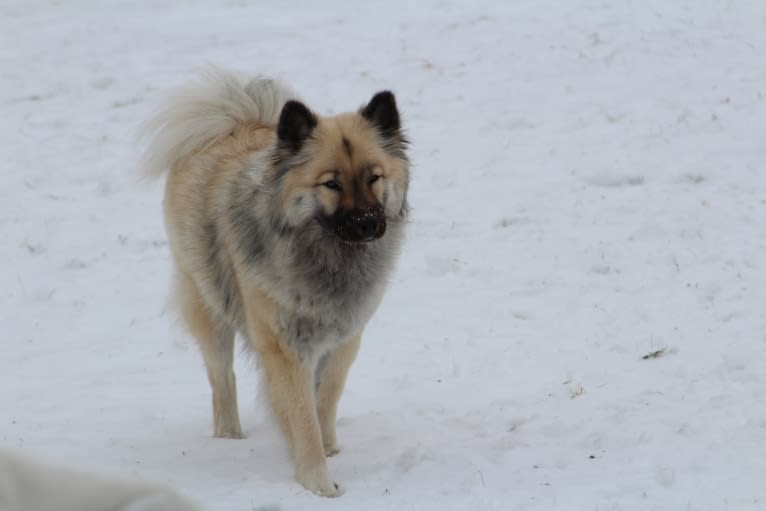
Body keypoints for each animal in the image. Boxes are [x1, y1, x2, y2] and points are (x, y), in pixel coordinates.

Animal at [141, 70, 412, 498]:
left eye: (374, 177)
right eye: (331, 184)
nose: (368, 223)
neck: (325, 256)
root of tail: (235, 123)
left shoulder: (343, 341)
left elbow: (325, 400)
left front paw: (328, 447)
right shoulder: (285, 349)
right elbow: (303, 417)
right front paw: (320, 484)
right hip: (210, 308)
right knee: (222, 379)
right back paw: (230, 437)